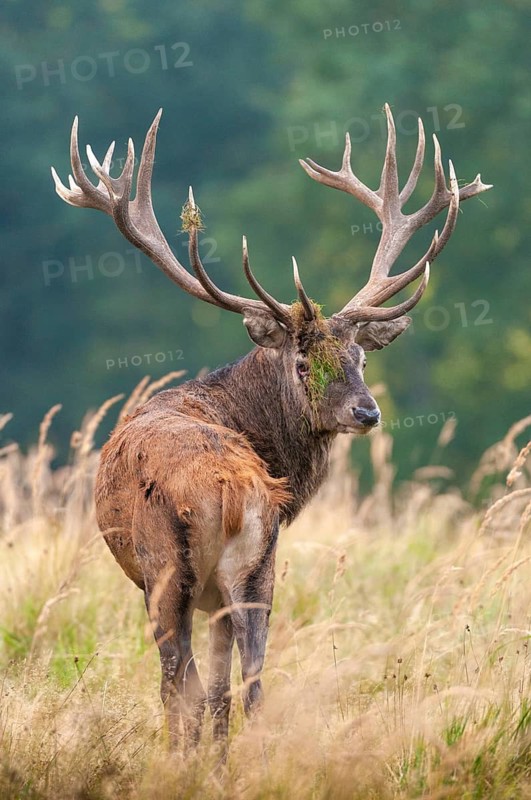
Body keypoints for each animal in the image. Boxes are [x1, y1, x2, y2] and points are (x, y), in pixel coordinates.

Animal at [52, 104, 491, 750]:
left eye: (360, 359)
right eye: (306, 362)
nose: (368, 412)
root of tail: (230, 490)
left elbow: (194, 688)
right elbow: (224, 688)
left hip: (167, 573)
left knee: (177, 685)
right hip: (256, 569)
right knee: (249, 686)